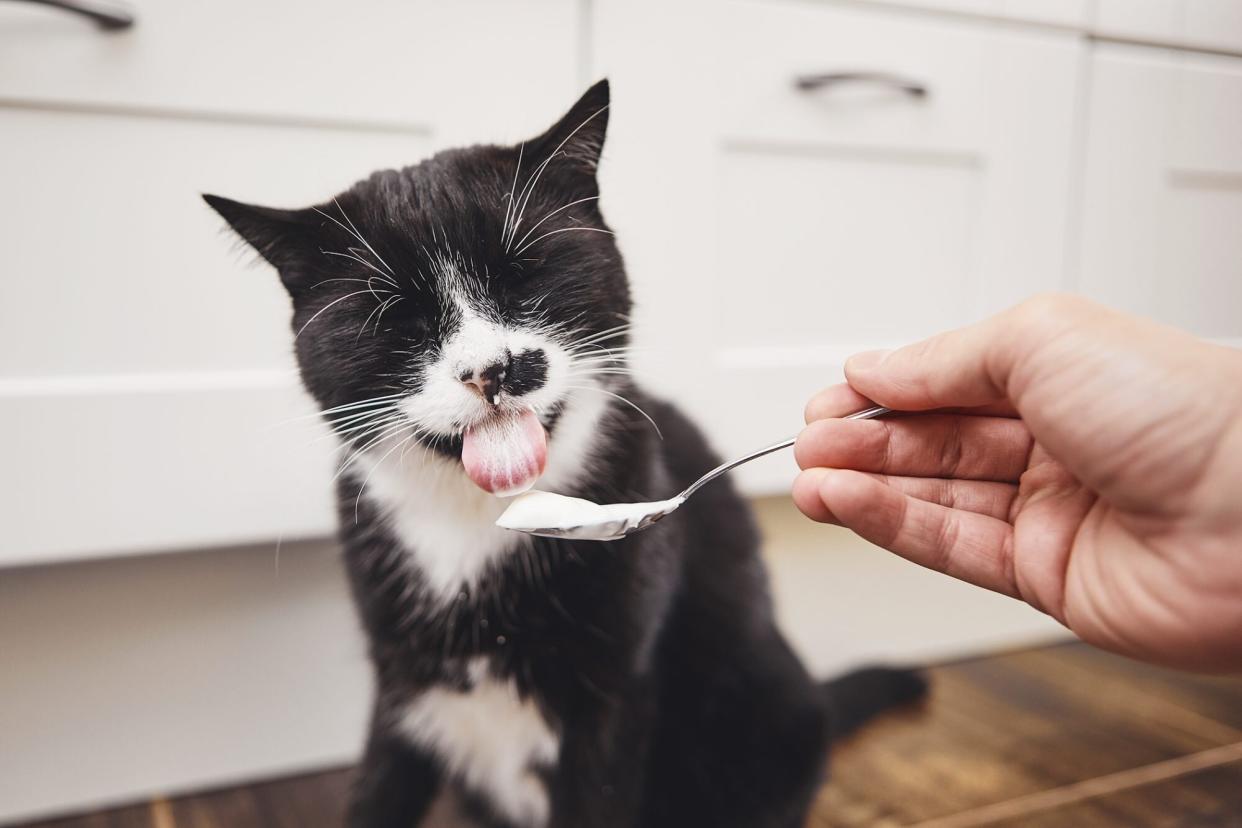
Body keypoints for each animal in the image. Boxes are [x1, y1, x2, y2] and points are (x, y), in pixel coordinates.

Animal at [203, 82, 929, 828]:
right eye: (398, 318)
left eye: (526, 278)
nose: (492, 368)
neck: (480, 521)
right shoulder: (401, 684)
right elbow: (378, 791)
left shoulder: (612, 700)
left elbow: (595, 795)